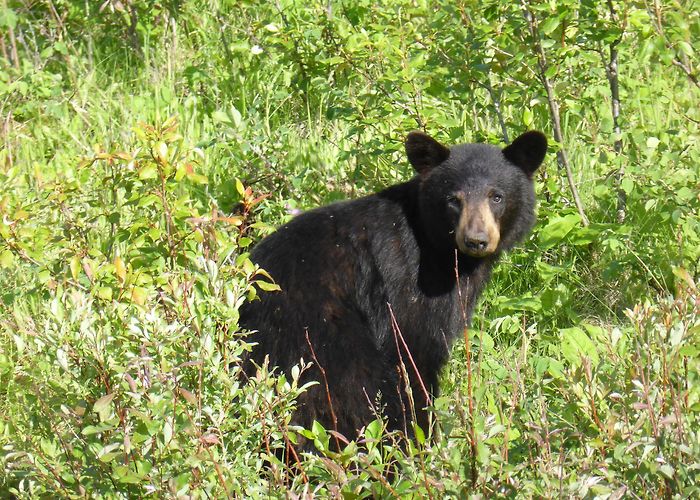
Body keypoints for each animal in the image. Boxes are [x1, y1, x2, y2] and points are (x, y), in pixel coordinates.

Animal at [239, 130, 547, 448]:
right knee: (355, 390)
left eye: (496, 196)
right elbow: (415, 353)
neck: (437, 248)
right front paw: (424, 437)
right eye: (453, 199)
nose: (476, 240)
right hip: (322, 341)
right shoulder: (409, 284)